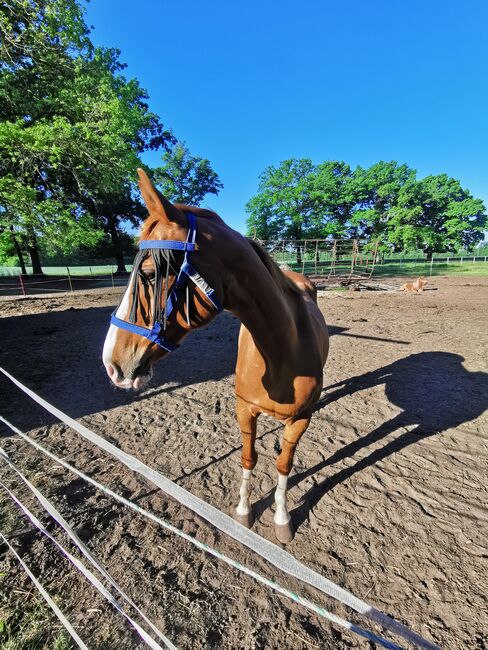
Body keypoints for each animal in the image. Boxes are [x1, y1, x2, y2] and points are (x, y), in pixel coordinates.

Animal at [102, 169, 329, 543]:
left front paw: (282, 519)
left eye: (149, 274)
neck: (281, 351)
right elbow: (249, 459)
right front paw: (243, 512)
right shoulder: (244, 411)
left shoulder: (300, 420)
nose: (111, 364)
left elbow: (283, 464)